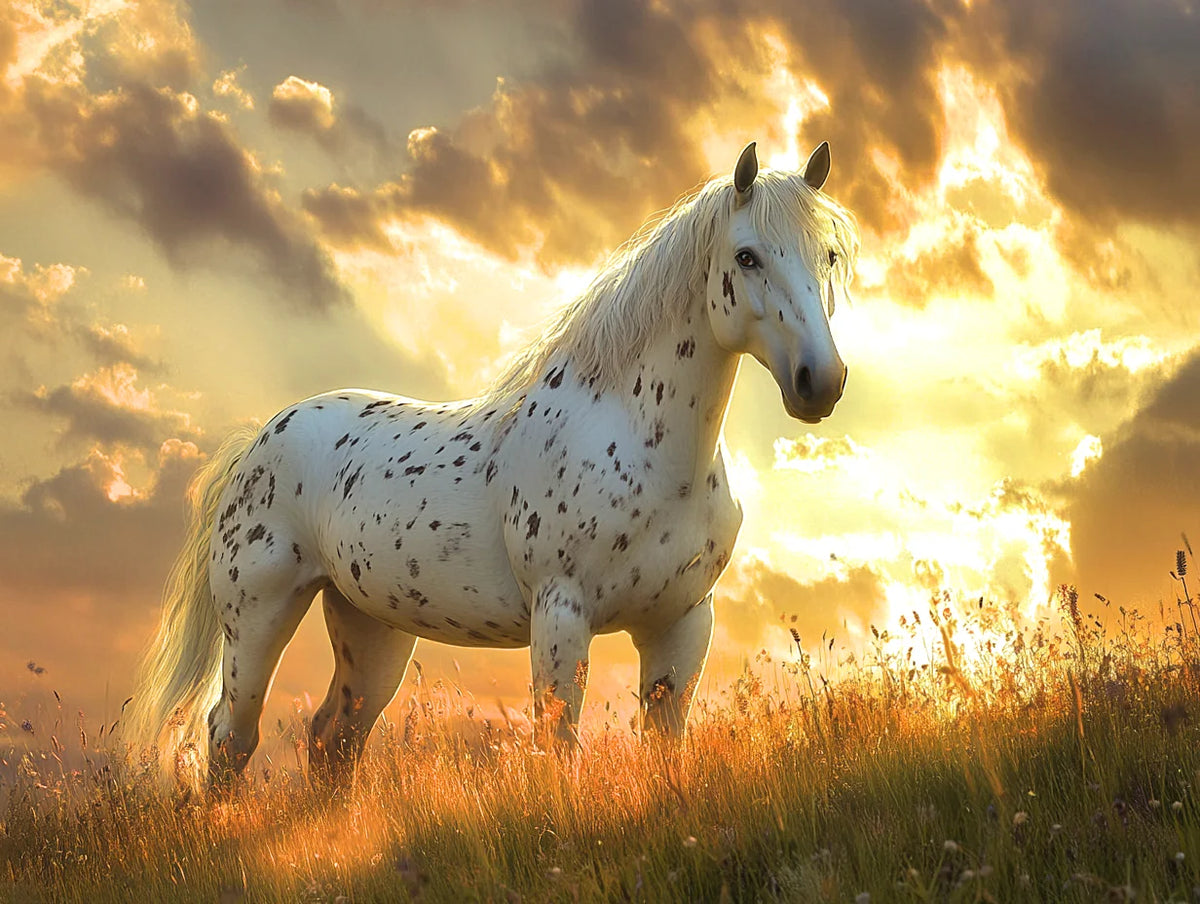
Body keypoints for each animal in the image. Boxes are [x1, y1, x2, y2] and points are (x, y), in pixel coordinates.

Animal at [125, 141, 860, 790]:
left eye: (828, 254)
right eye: (747, 255)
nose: (819, 382)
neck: (640, 448)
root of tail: (259, 439)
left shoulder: (682, 623)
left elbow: (663, 749)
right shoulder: (561, 615)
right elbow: (559, 748)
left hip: (372, 628)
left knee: (334, 741)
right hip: (258, 620)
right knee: (230, 738)